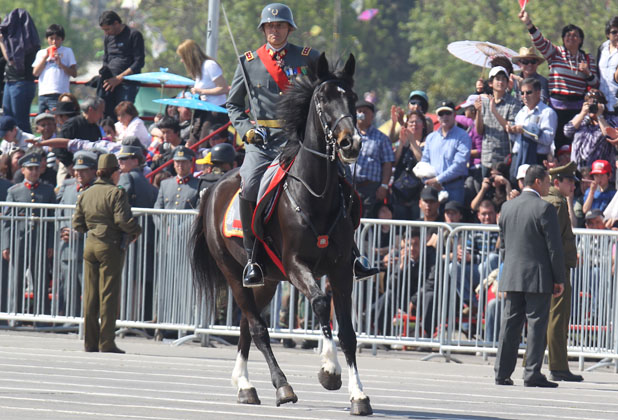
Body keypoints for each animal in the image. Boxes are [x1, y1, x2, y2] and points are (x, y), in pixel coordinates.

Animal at [188, 54, 370, 416]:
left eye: (353, 98)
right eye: (323, 99)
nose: (351, 143)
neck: (315, 194)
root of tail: (213, 187)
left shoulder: (341, 269)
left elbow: (347, 332)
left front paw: (358, 394)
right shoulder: (297, 265)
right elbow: (319, 302)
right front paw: (329, 370)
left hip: (268, 281)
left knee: (247, 325)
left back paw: (245, 384)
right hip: (235, 274)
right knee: (258, 327)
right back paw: (279, 386)